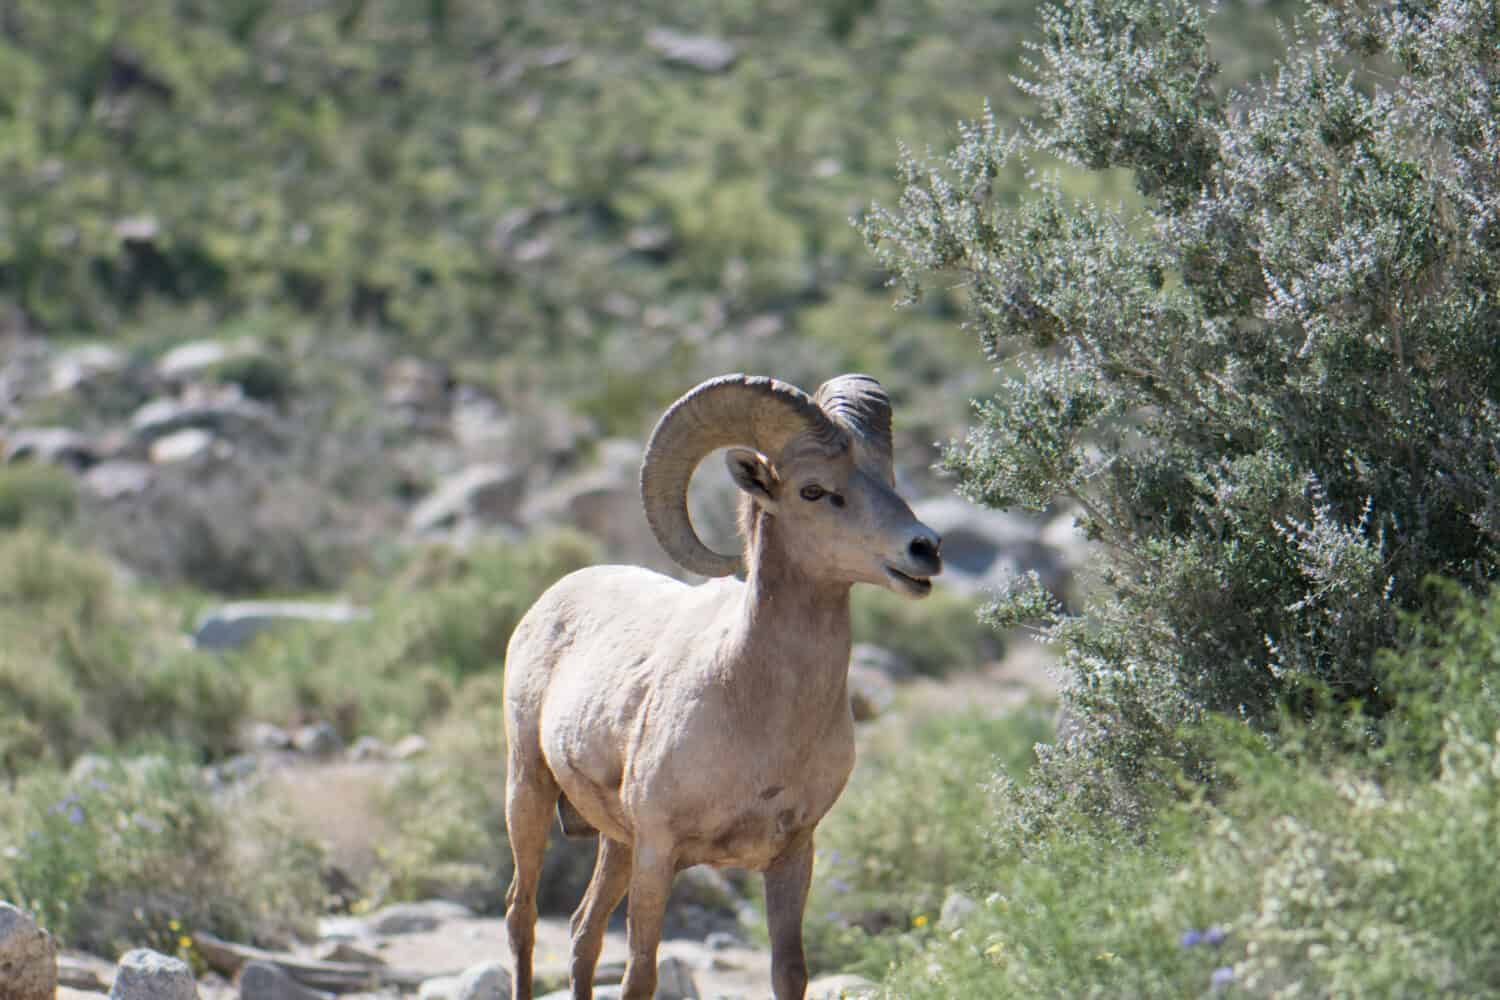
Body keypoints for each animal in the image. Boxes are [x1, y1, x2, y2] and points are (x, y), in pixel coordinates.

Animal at [510, 374, 942, 1000]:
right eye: (814, 491)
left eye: (887, 477)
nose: (925, 549)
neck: (758, 712)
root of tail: (553, 597)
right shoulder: (659, 853)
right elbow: (641, 974)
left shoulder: (793, 854)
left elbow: (790, 973)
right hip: (529, 791)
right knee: (521, 917)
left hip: (614, 843)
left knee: (582, 932)